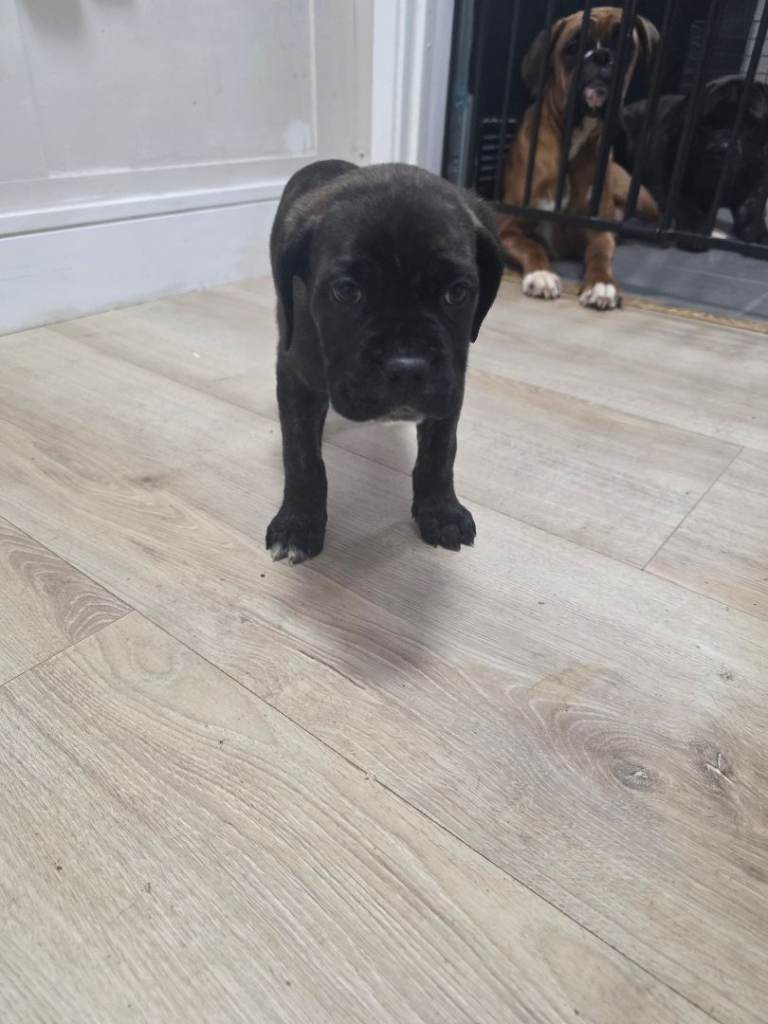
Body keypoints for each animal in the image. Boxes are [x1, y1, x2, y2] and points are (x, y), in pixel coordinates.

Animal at [266, 160, 503, 564]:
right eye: (346, 291)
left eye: (457, 293)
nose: (408, 369)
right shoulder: (296, 375)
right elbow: (300, 455)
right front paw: (297, 522)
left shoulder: (450, 386)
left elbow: (440, 453)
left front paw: (441, 511)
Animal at [498, 7, 659, 310]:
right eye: (572, 47)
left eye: (626, 44)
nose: (602, 56)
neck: (574, 136)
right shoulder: (509, 229)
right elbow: (533, 246)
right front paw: (541, 275)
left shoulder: (600, 230)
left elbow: (599, 254)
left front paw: (601, 284)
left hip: (642, 199)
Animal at [621, 76, 768, 246]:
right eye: (705, 125)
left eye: (751, 125)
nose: (723, 148)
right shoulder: (670, 177)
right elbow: (685, 203)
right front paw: (694, 231)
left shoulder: (757, 183)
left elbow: (752, 206)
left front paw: (756, 232)